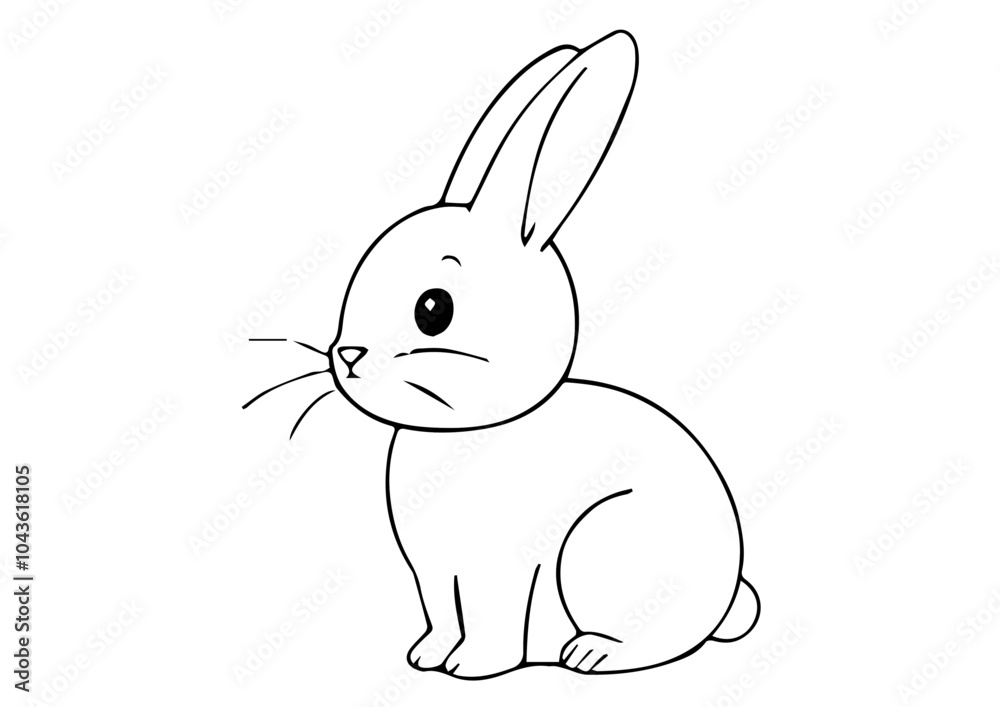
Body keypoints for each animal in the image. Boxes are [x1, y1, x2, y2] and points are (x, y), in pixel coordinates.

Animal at [252, 29, 759, 679]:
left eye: (433, 309)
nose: (347, 353)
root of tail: (727, 597)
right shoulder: (435, 575)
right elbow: (442, 615)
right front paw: (426, 657)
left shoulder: (497, 569)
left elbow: (491, 617)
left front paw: (472, 668)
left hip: (604, 550)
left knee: (662, 639)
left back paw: (591, 653)